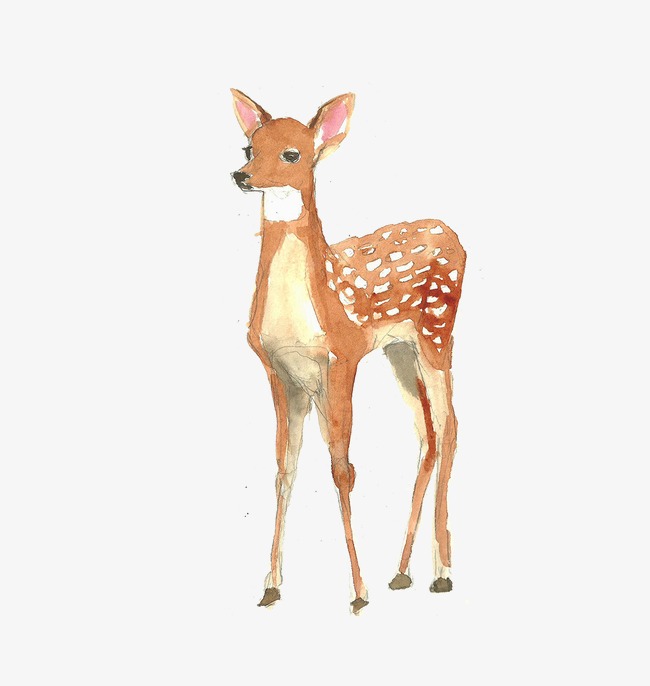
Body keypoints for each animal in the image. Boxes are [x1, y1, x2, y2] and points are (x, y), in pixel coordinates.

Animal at [230, 89, 466, 613]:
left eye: (292, 154)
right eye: (248, 148)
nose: (240, 175)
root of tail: (454, 235)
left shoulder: (343, 356)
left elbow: (343, 470)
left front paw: (358, 592)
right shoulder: (280, 372)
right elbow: (284, 469)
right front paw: (270, 585)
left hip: (438, 332)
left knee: (450, 424)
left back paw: (442, 574)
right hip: (400, 351)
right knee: (427, 432)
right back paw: (401, 572)